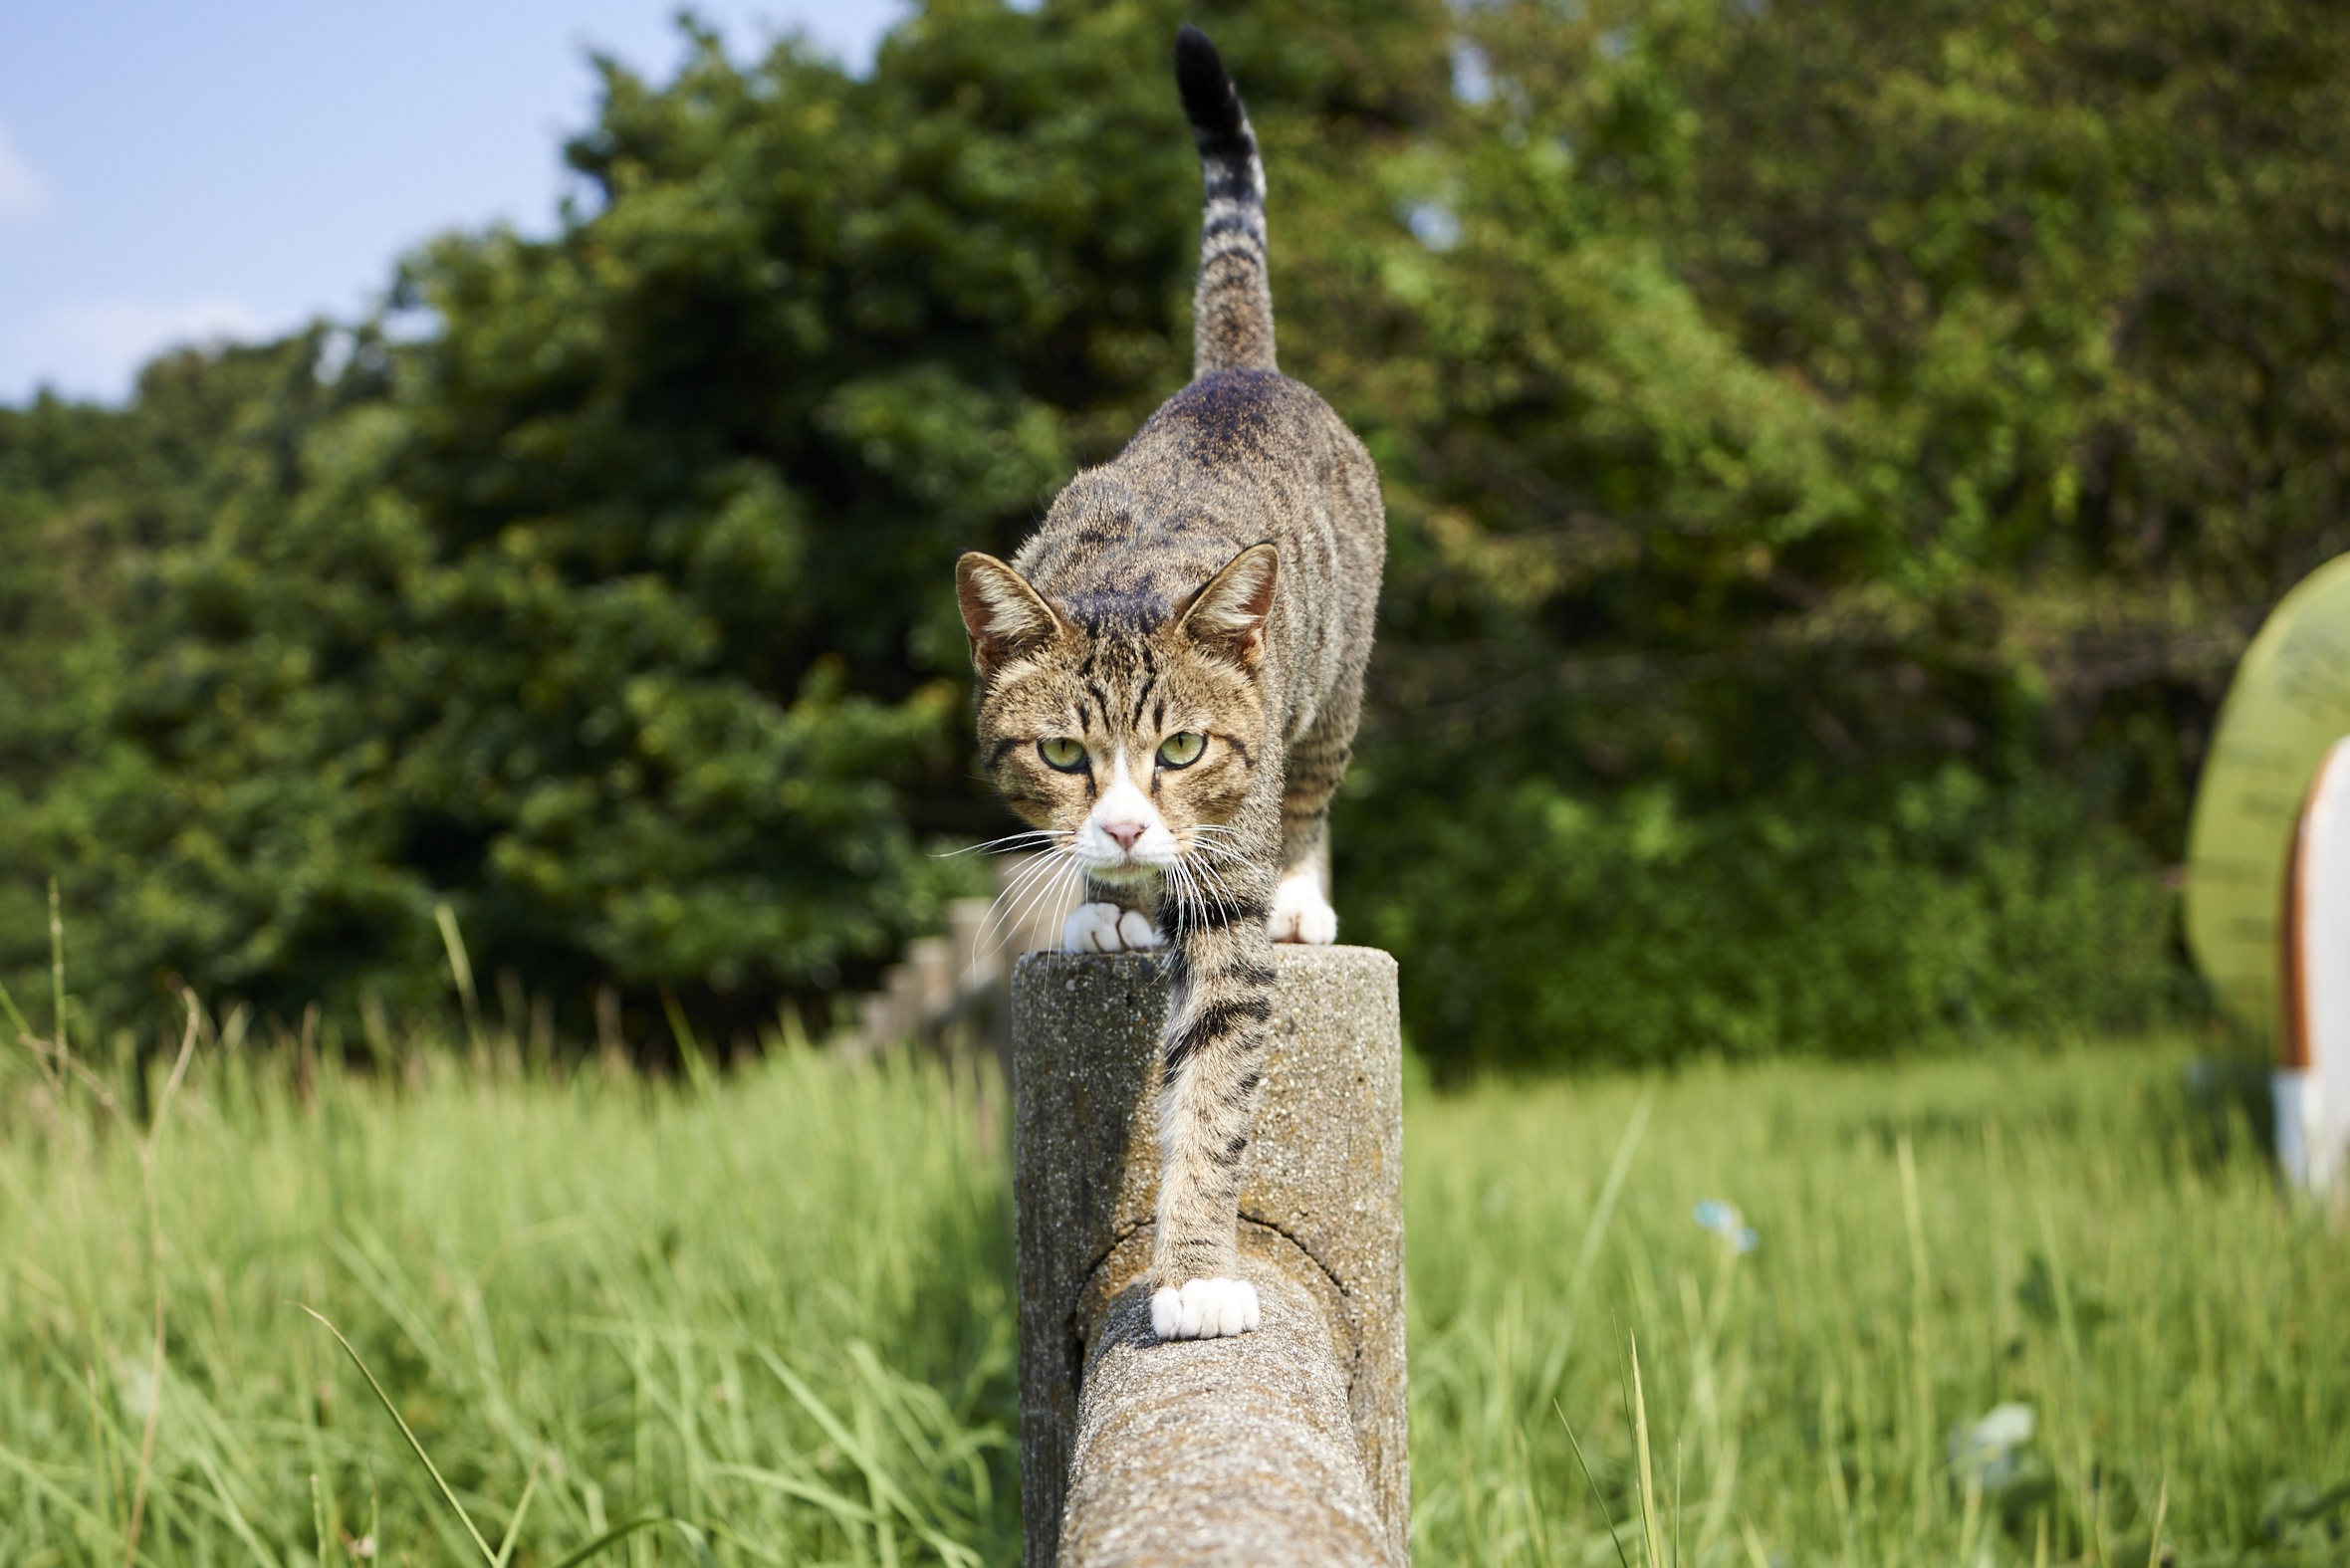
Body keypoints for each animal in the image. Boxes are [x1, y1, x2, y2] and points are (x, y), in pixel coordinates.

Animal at [954, 24, 1381, 1344]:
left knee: (1311, 790)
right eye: (1060, 755)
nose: (1132, 826)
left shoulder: (1226, 872)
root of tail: (1240, 371)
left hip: (1334, 693)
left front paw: (1193, 1275)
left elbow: (1213, 1100)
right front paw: (1105, 904)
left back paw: (1301, 895)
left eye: (1183, 750)